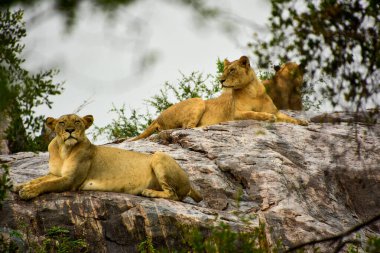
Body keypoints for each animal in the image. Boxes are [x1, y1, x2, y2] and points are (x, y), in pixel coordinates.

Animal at [14, 113, 202, 203]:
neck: (63, 150)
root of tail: (190, 183)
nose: (69, 130)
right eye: (62, 122)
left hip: (159, 155)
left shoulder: (70, 181)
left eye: (77, 121)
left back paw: (149, 192)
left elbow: (45, 184)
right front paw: (20, 186)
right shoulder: (55, 173)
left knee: (174, 195)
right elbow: (38, 179)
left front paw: (27, 192)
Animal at [129, 55, 308, 141]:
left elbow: (288, 118)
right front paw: (267, 118)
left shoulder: (277, 111)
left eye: (232, 70)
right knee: (187, 127)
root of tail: (157, 117)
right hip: (198, 101)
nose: (221, 81)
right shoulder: (237, 114)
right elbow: (254, 114)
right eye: (224, 70)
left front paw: (303, 121)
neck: (252, 91)